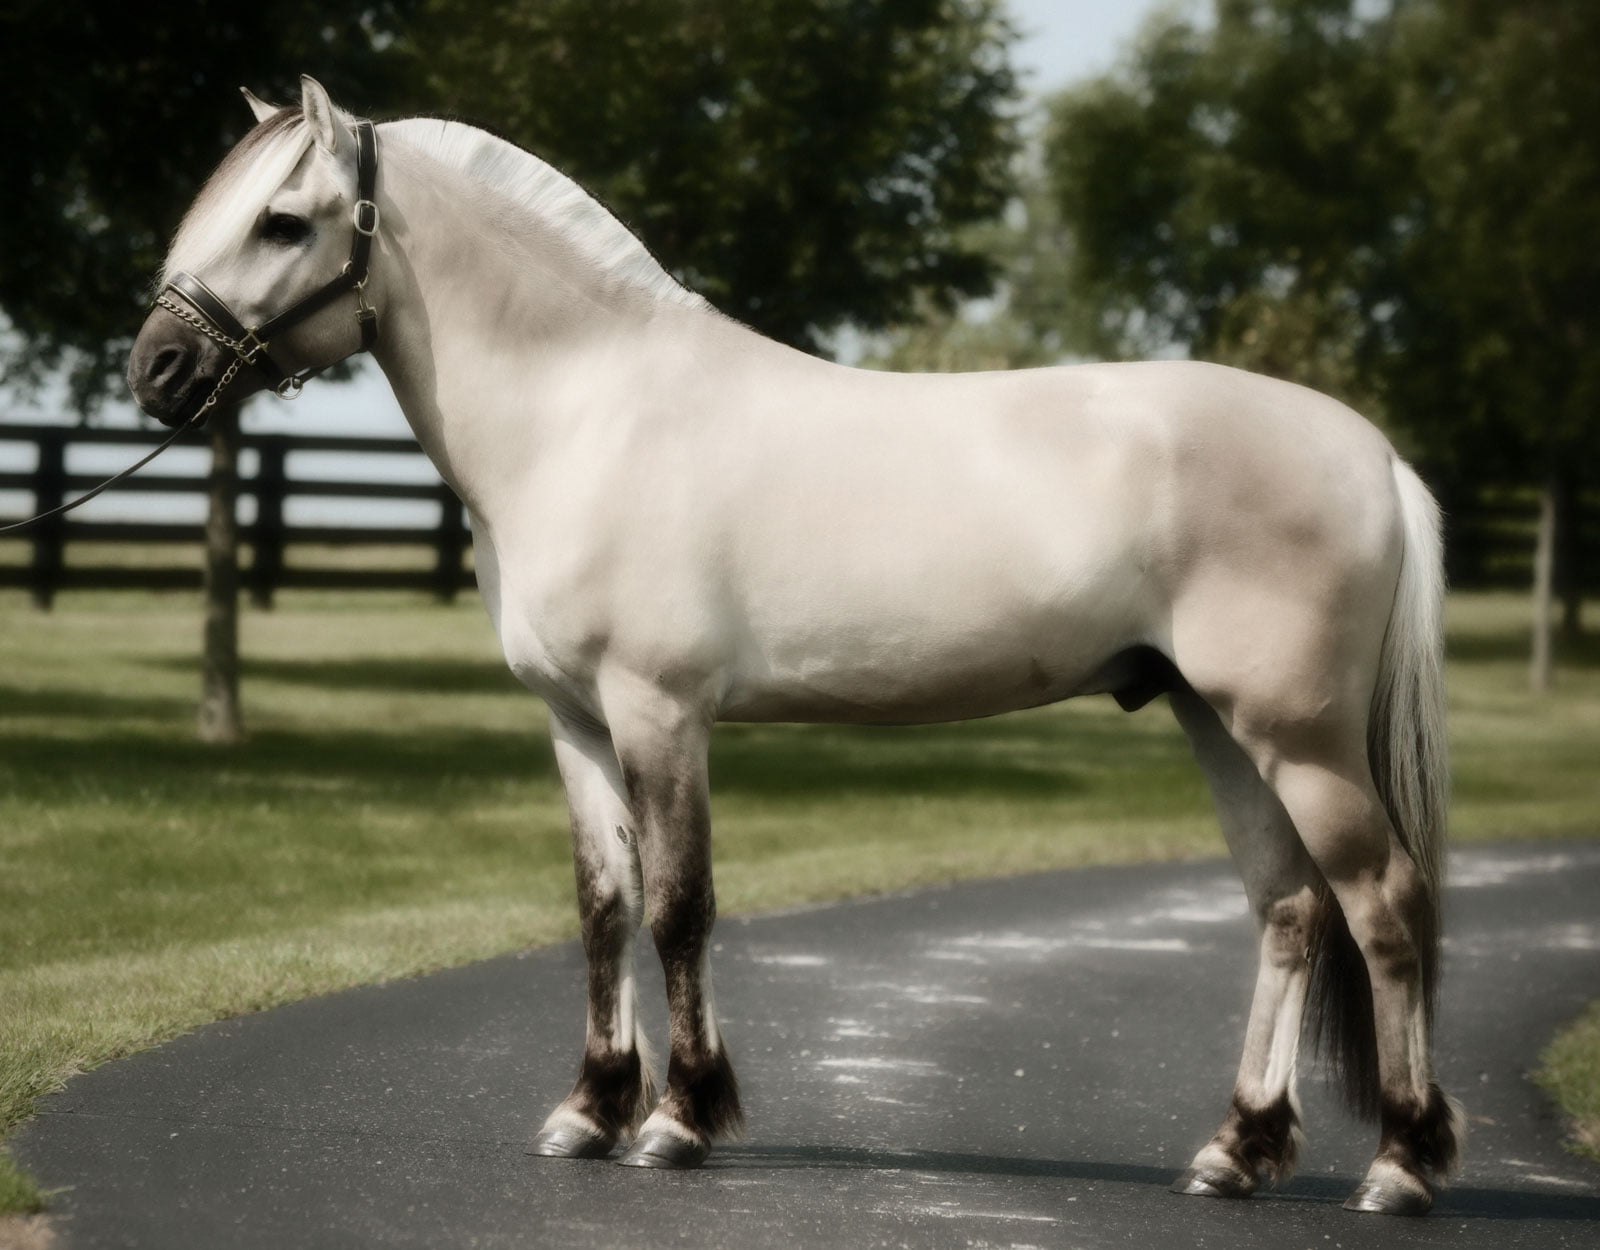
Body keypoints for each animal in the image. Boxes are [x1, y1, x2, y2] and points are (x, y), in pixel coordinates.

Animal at [128, 77, 1462, 1214]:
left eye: (284, 222)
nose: (157, 367)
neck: (588, 414)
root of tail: (1371, 454)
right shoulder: (575, 720)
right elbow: (603, 903)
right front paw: (589, 1111)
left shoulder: (660, 707)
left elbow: (679, 906)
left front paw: (678, 1119)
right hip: (1217, 721)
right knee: (1289, 908)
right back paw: (1238, 1147)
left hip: (1299, 736)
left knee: (1384, 902)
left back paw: (1399, 1161)